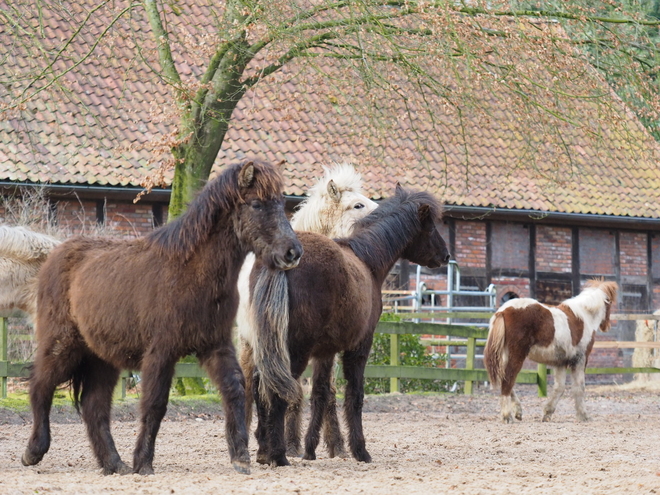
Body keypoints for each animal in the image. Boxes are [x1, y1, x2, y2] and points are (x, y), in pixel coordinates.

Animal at [21, 160, 302, 476]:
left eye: (280, 203)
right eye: (256, 204)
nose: (292, 252)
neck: (190, 272)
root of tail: (55, 255)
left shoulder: (216, 345)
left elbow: (234, 389)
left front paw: (240, 457)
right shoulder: (161, 351)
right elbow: (155, 404)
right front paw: (143, 462)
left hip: (101, 357)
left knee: (94, 407)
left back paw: (114, 464)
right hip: (62, 344)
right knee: (40, 387)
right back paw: (34, 452)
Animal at [236, 165, 376, 460]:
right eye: (357, 205)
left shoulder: (325, 350)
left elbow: (327, 390)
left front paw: (336, 444)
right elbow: (294, 390)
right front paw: (291, 443)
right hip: (249, 344)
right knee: (248, 384)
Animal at [246, 186, 448, 468]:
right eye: (430, 228)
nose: (446, 255)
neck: (366, 259)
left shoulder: (325, 352)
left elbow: (321, 393)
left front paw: (311, 449)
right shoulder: (360, 346)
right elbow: (355, 395)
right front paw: (360, 450)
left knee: (259, 385)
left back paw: (265, 451)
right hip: (292, 352)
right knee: (276, 390)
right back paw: (278, 455)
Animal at [482, 280, 616, 424]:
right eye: (610, 303)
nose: (607, 326)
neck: (584, 316)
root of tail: (503, 311)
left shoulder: (561, 363)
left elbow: (560, 387)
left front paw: (547, 413)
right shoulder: (580, 359)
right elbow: (579, 387)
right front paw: (583, 416)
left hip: (505, 356)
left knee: (505, 380)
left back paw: (518, 412)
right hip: (517, 356)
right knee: (508, 380)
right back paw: (507, 416)